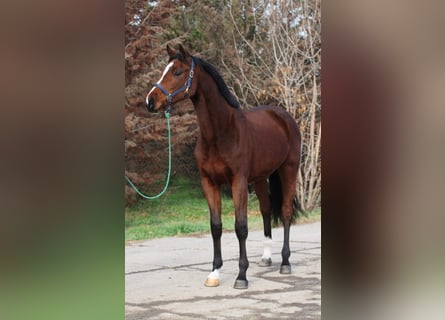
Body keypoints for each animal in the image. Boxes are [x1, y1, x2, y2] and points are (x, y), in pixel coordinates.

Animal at [146, 43, 302, 288]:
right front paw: (214, 273)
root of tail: (283, 117)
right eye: (165, 70)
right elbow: (216, 227)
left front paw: (241, 276)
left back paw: (285, 262)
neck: (221, 134)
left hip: (289, 170)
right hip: (260, 178)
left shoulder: (238, 182)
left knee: (285, 212)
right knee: (266, 210)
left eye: (177, 72)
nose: (150, 101)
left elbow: (241, 227)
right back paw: (266, 258)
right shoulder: (209, 183)